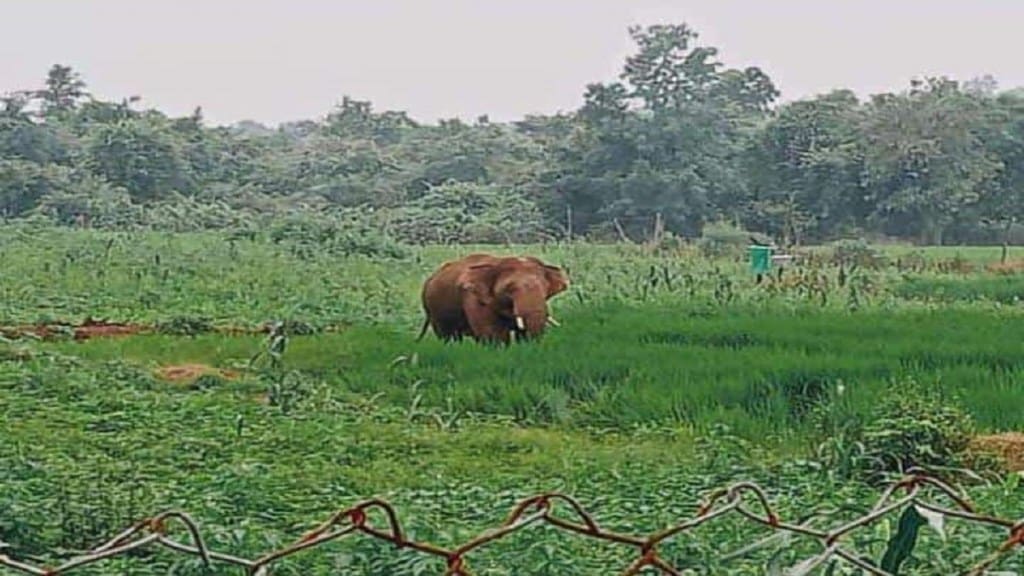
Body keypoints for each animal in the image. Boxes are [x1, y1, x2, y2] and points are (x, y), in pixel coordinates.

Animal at [417, 253, 577, 342]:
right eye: (509, 289)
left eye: (544, 288)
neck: (497, 263)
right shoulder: (473, 298)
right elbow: (493, 336)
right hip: (434, 311)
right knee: (449, 337)